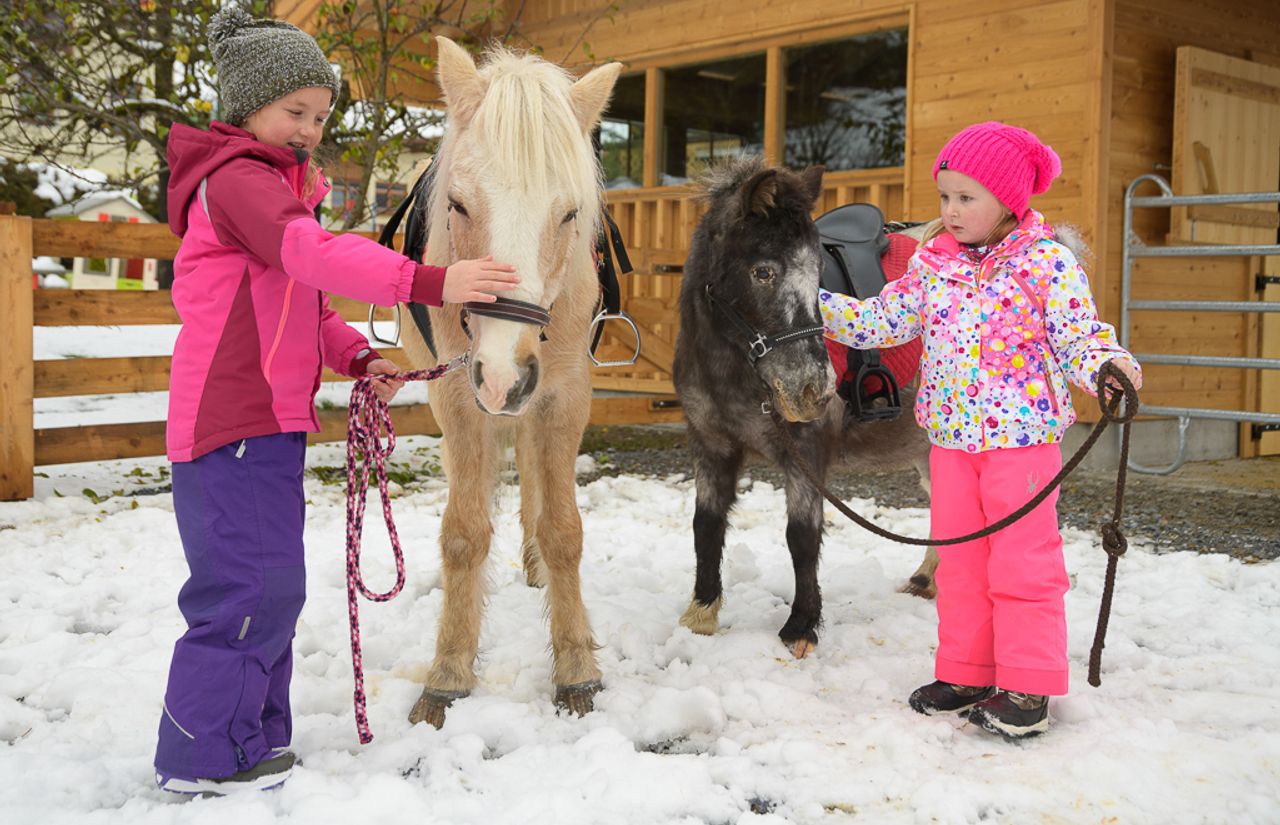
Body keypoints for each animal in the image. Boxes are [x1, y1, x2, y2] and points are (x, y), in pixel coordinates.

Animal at [396, 38, 622, 726]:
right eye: (458, 205)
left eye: (570, 212)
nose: (502, 375)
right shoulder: (456, 398)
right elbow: (464, 534)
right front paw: (447, 673)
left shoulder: (563, 398)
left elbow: (563, 530)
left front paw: (575, 667)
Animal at [670, 154, 931, 654]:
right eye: (763, 272)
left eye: (818, 278)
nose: (814, 389)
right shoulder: (710, 443)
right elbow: (706, 524)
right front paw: (701, 614)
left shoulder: (805, 452)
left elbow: (802, 536)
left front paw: (801, 625)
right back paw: (928, 580)